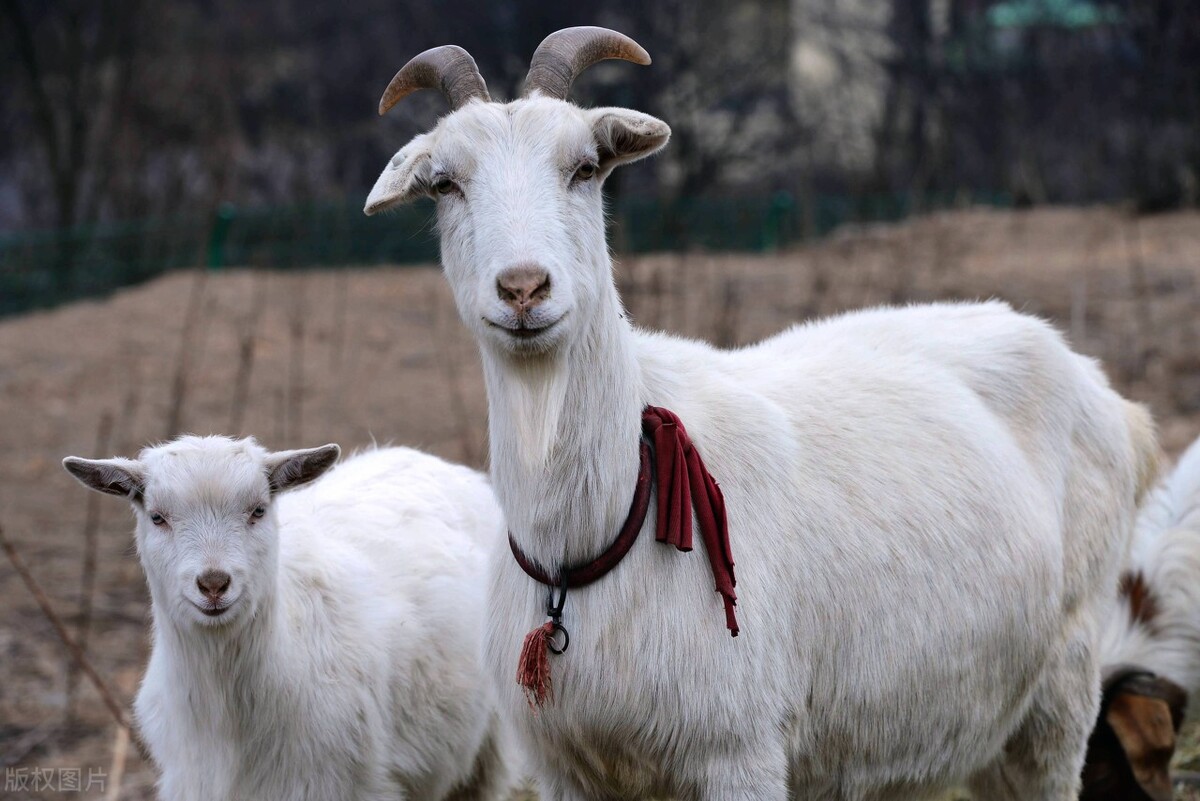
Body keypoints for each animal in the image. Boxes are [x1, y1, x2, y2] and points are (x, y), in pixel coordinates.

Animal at [367, 26, 1161, 801]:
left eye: (585, 167)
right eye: (444, 182)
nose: (524, 288)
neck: (596, 534)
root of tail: (1106, 392)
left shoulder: (738, 749)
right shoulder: (567, 768)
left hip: (1061, 687)